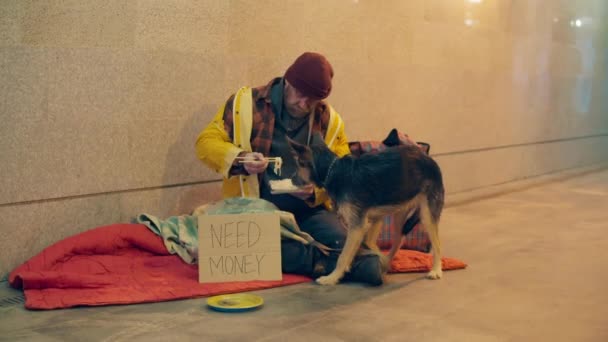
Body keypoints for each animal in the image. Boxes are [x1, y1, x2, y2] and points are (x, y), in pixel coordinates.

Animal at [288, 136, 444, 286]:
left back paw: (436, 270)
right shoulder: (370, 221)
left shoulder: (357, 226)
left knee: (437, 244)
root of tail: (429, 159)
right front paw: (374, 258)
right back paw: (387, 262)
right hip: (399, 210)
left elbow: (343, 255)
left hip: (427, 214)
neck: (334, 171)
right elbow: (365, 244)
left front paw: (332, 278)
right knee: (399, 239)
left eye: (299, 164)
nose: (291, 180)